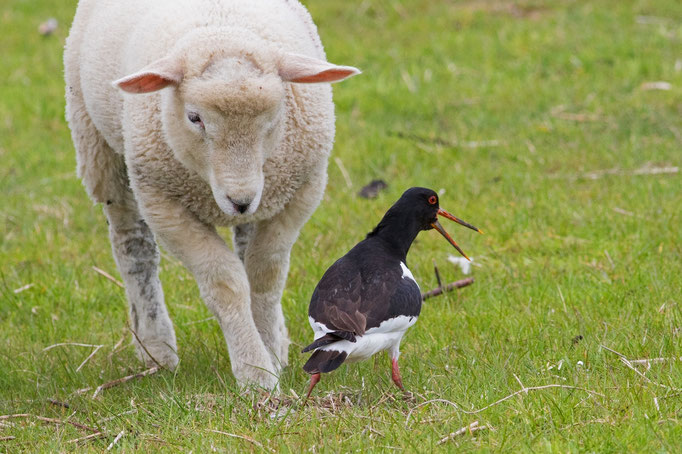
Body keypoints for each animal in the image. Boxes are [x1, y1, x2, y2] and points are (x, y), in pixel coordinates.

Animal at [64, 0, 359, 390]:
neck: (222, 30)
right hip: (100, 151)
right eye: (194, 118)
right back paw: (156, 347)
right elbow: (226, 284)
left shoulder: (300, 192)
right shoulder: (163, 203)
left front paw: (270, 350)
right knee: (134, 249)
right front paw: (256, 373)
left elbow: (264, 275)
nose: (240, 200)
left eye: (274, 118)